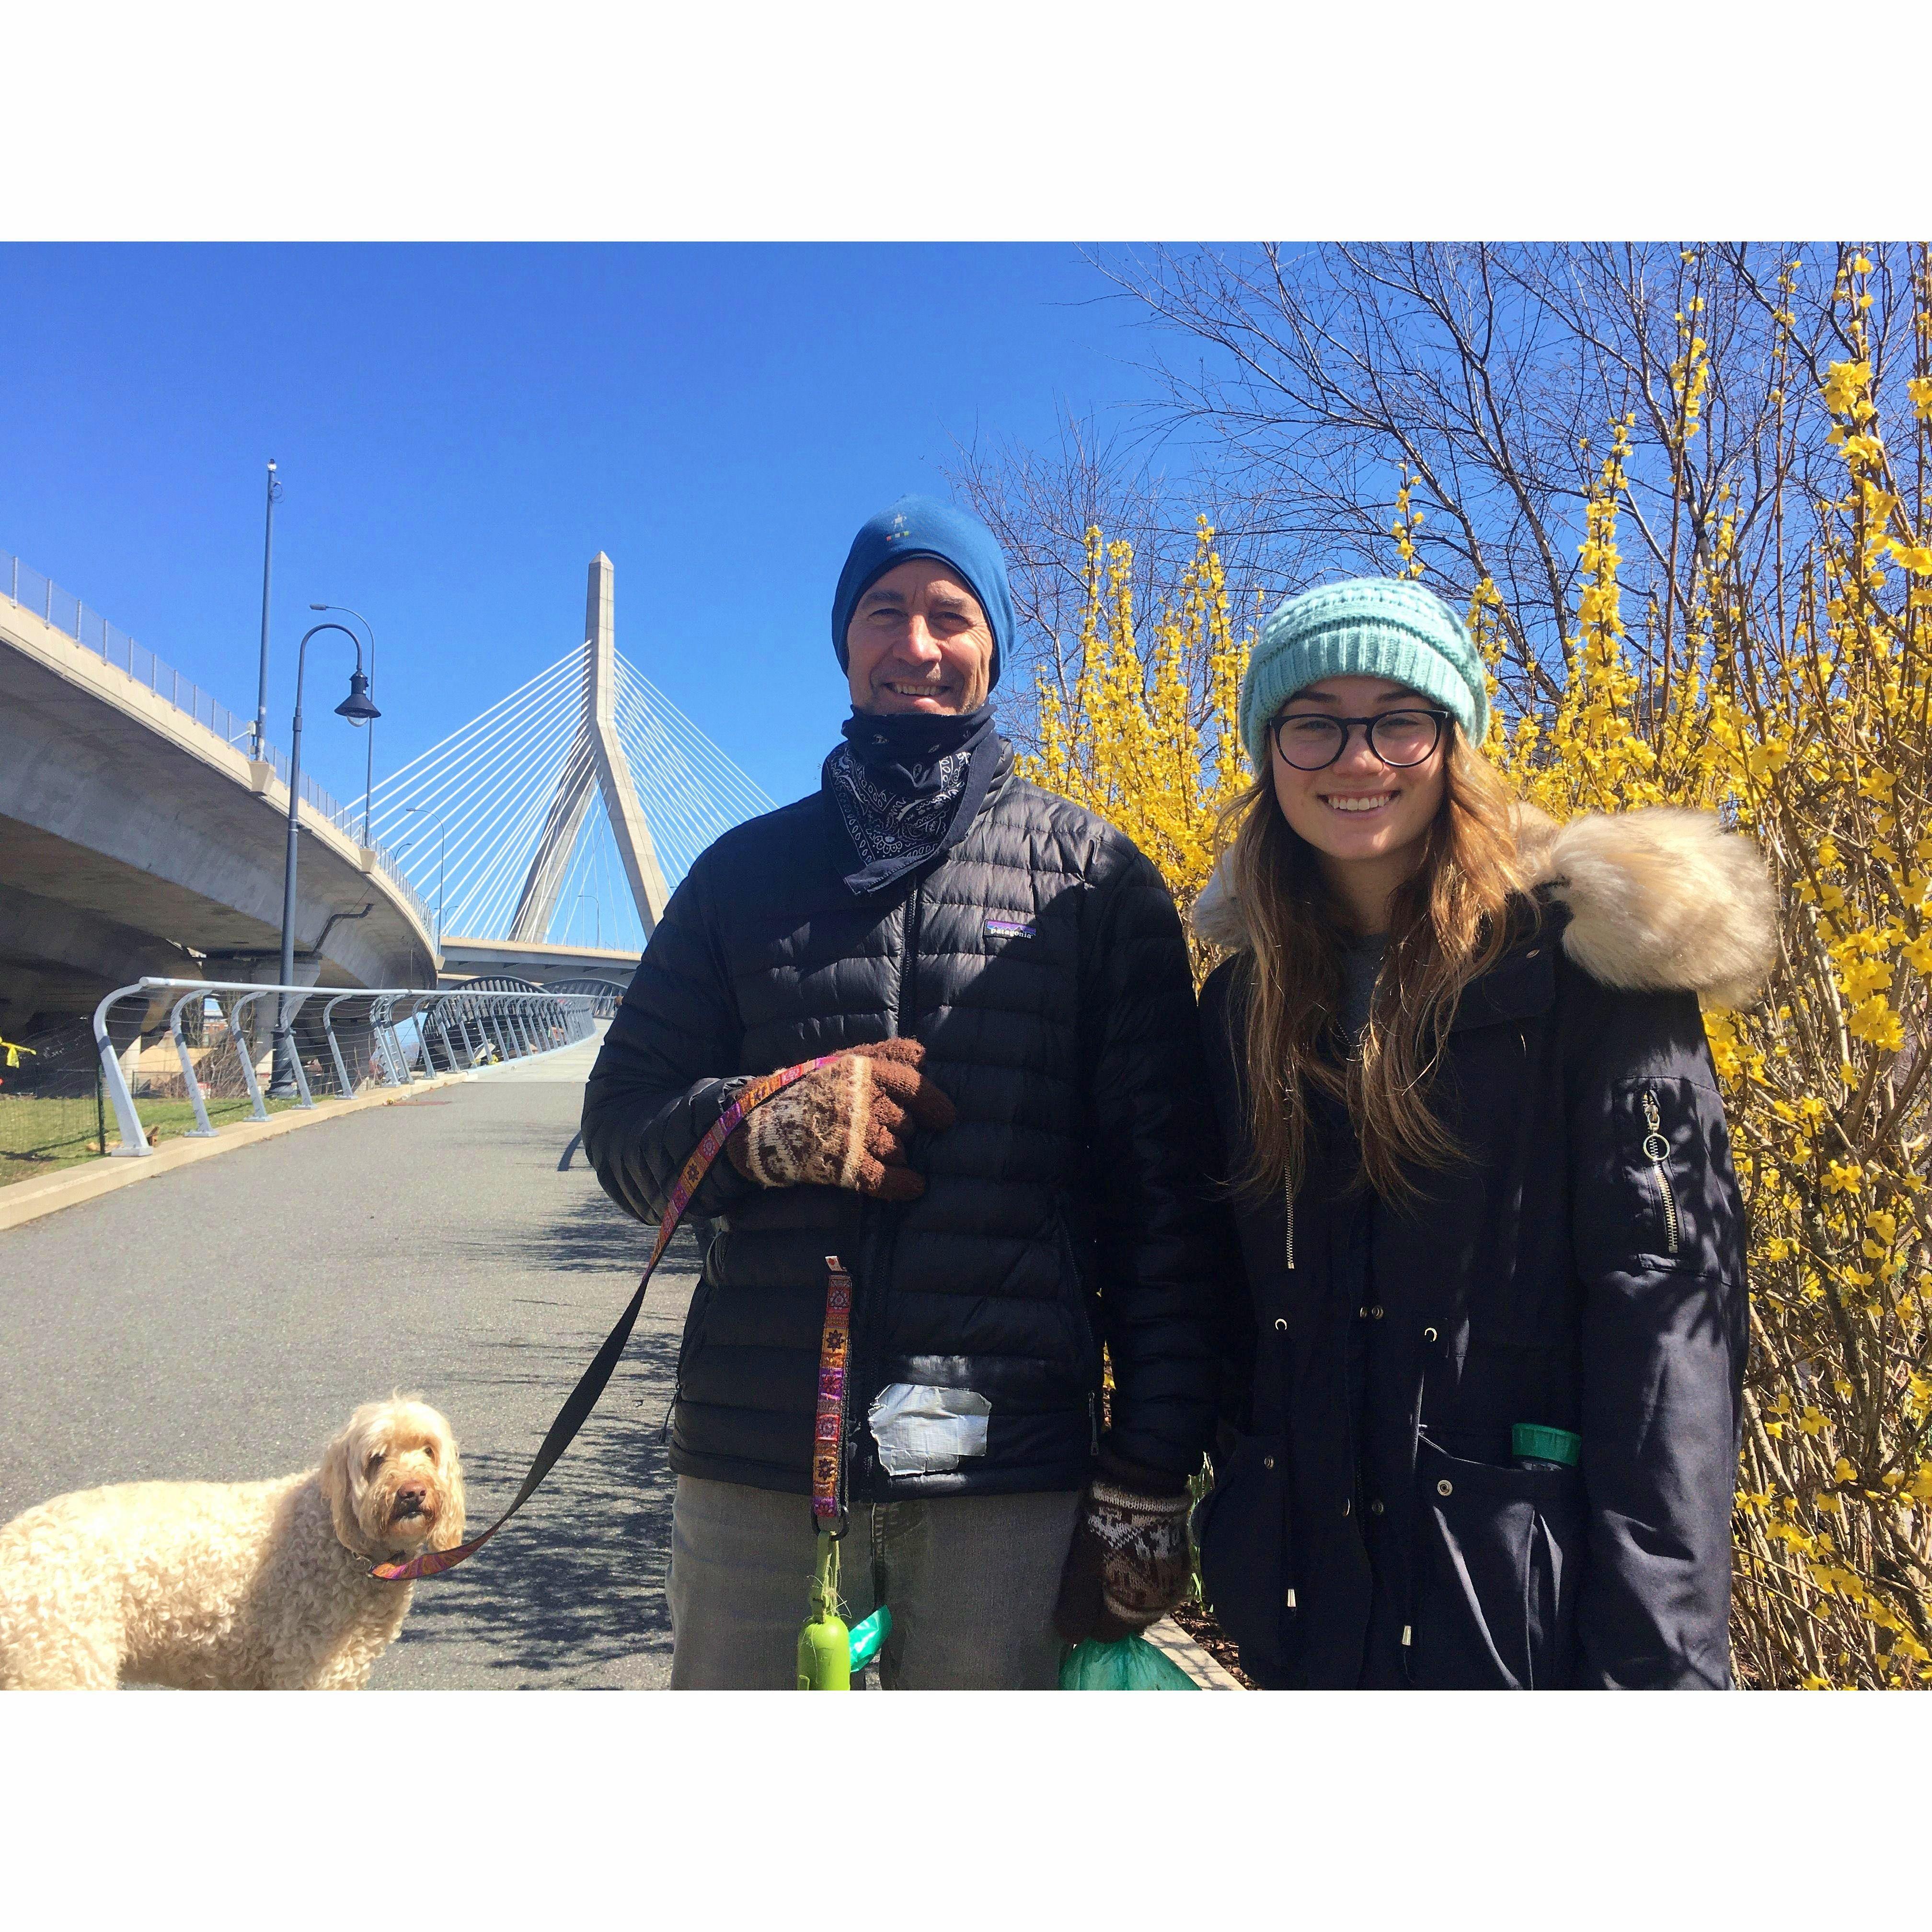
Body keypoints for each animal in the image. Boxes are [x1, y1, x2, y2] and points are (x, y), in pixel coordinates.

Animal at [0, 1399, 463, 1684]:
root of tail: (14, 1539)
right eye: (376, 1459)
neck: (337, 1540)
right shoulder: (311, 1670)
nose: (412, 1492)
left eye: (428, 1450)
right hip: (59, 1665)